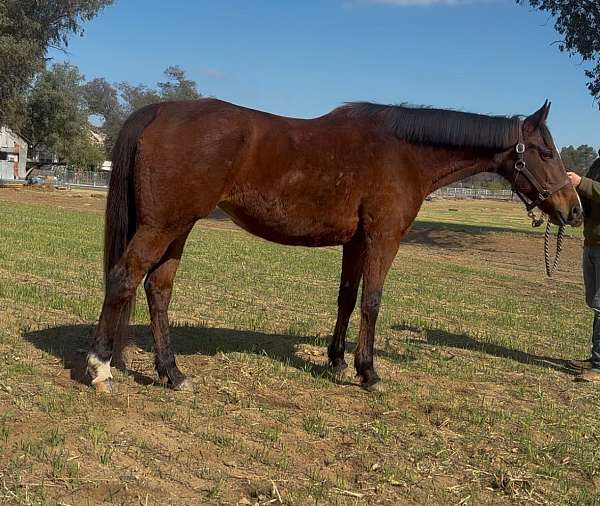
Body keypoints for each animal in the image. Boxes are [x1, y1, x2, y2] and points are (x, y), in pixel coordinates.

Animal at [86, 97, 584, 394]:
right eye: (545, 152)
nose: (573, 209)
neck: (403, 152)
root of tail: (160, 110)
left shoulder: (356, 243)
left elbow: (346, 297)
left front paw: (338, 361)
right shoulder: (383, 239)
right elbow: (371, 301)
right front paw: (369, 372)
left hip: (179, 229)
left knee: (158, 289)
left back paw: (172, 373)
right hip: (162, 226)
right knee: (124, 277)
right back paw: (100, 366)